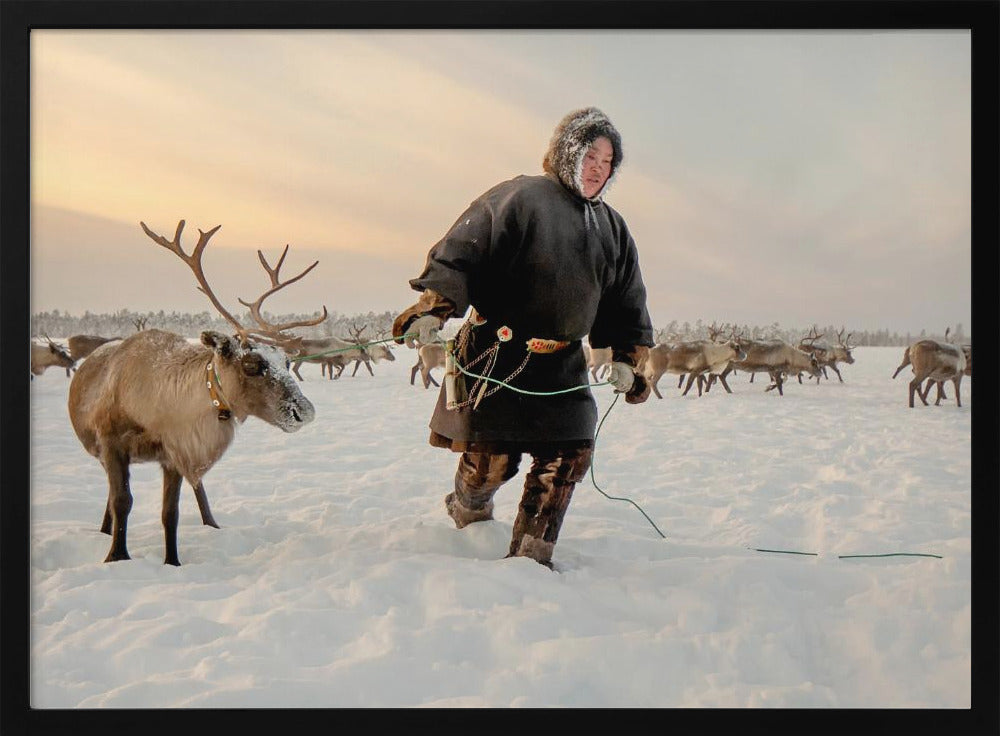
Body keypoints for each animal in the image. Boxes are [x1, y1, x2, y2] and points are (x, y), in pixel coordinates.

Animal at [67, 219, 326, 566]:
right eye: (251, 364)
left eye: (286, 360)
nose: (305, 411)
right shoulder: (111, 442)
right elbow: (121, 499)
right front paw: (116, 556)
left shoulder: (176, 452)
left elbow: (170, 512)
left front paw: (172, 562)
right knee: (113, 494)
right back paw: (105, 530)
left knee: (198, 487)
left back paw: (211, 524)